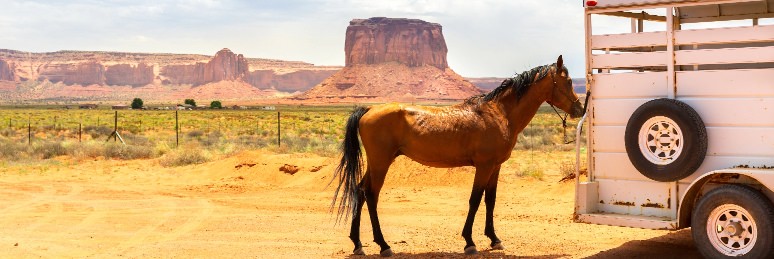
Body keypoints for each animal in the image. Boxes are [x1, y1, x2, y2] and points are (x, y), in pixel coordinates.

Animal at [330, 55, 584, 256]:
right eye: (569, 81)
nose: (579, 109)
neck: (500, 112)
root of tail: (368, 109)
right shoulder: (483, 166)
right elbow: (475, 200)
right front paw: (469, 242)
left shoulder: (495, 166)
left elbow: (490, 200)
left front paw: (494, 239)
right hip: (381, 162)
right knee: (371, 195)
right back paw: (384, 245)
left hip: (377, 163)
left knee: (359, 191)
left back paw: (358, 244)